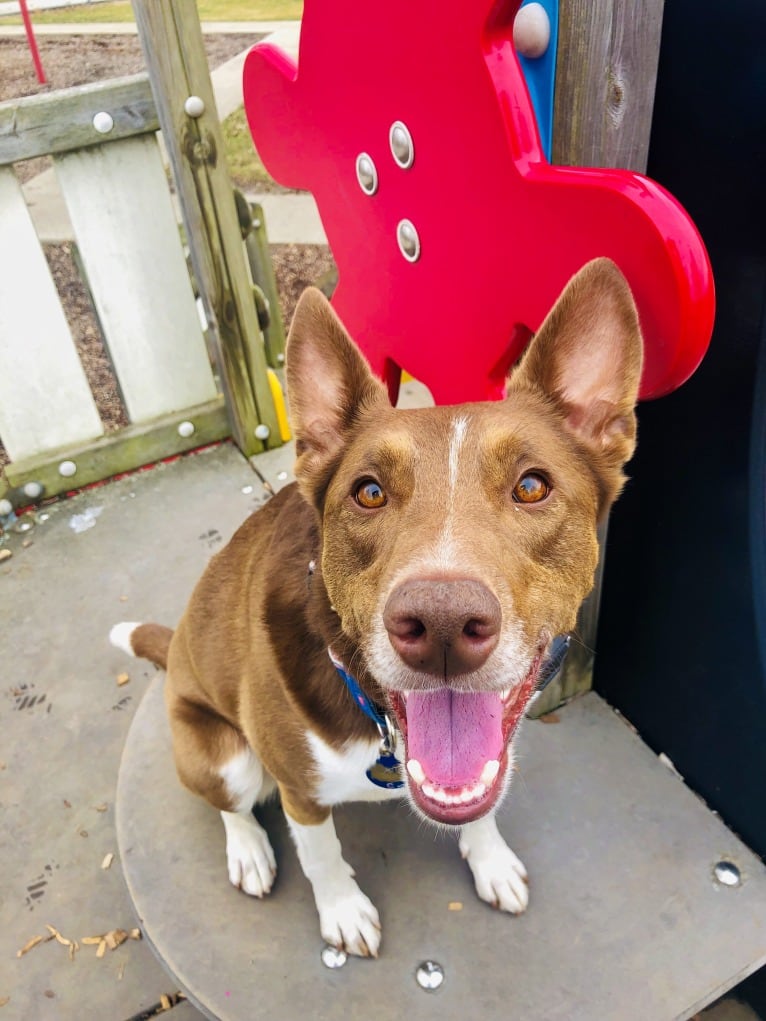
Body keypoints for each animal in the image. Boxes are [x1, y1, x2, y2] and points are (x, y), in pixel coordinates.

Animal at [110, 255, 645, 955]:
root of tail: (172, 652)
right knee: (231, 804)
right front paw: (343, 912)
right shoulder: (300, 790)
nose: (442, 624)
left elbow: (483, 797)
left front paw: (491, 860)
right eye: (368, 492)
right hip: (224, 755)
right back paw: (249, 851)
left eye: (533, 486)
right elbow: (322, 856)